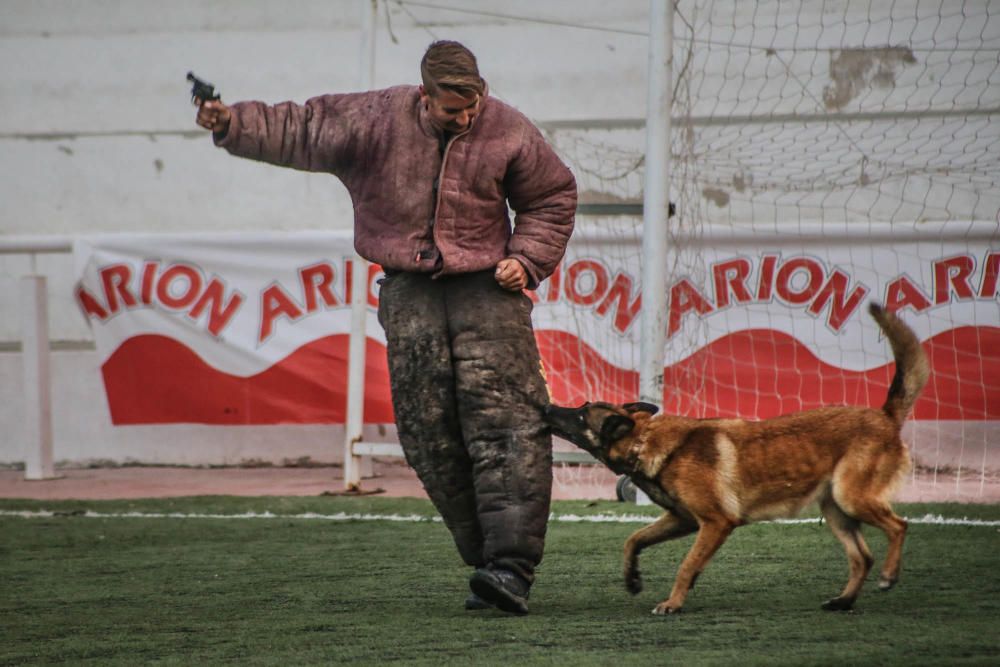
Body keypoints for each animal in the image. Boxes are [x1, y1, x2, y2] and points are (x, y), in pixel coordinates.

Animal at [548, 304, 928, 616]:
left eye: (580, 415)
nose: (547, 406)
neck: (647, 442)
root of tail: (884, 416)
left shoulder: (716, 522)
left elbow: (686, 565)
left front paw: (673, 602)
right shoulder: (683, 520)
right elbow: (634, 539)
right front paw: (632, 578)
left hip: (852, 498)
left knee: (899, 526)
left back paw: (888, 576)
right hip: (837, 510)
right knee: (862, 558)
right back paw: (844, 601)